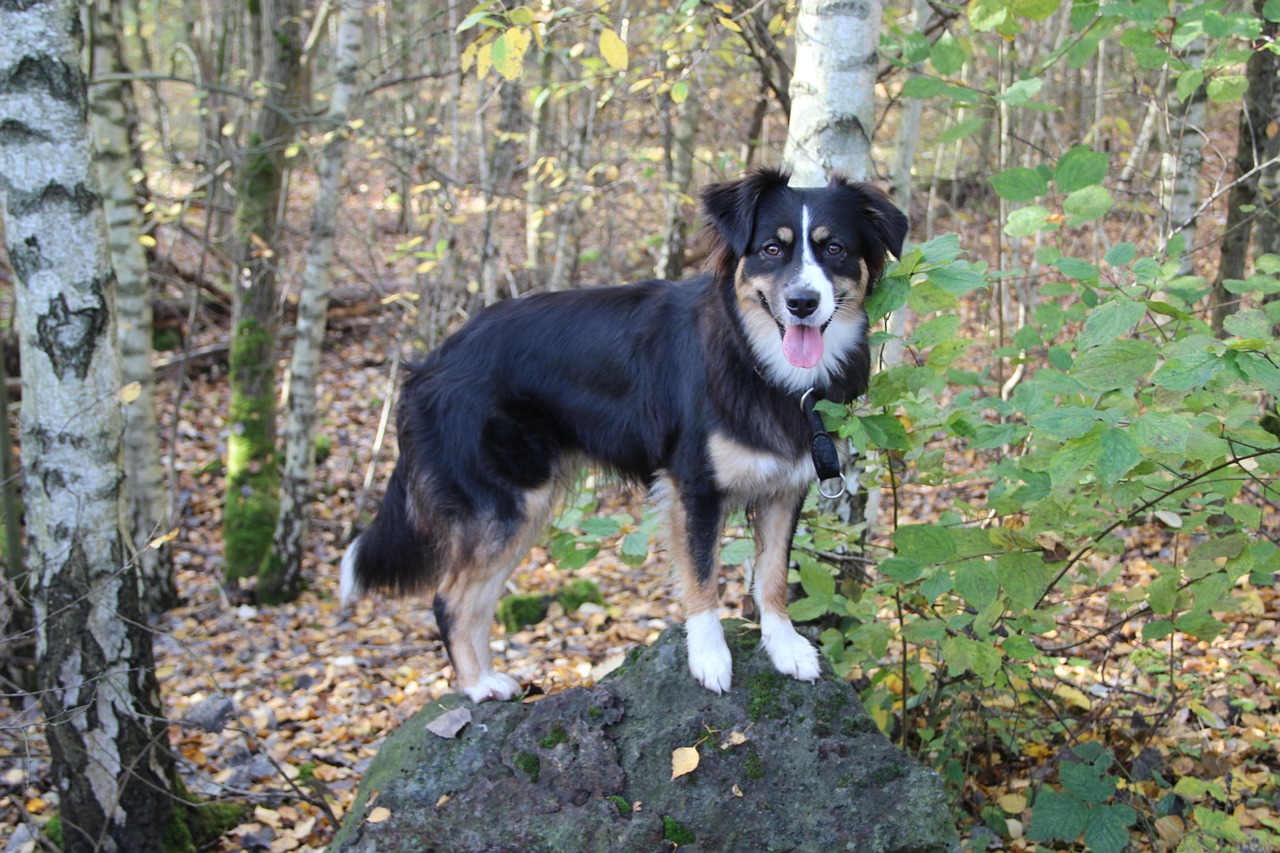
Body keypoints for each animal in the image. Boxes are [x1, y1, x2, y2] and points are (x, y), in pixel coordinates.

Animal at [340, 163, 911, 696]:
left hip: (522, 510)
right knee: (449, 597)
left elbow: (771, 576)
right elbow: (701, 578)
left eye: (834, 248)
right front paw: (709, 657)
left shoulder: (784, 488)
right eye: (773, 249)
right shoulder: (693, 487)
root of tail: (427, 366)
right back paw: (479, 686)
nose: (802, 303)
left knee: (475, 599)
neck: (757, 360)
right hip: (505, 502)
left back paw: (489, 682)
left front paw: (785, 647)